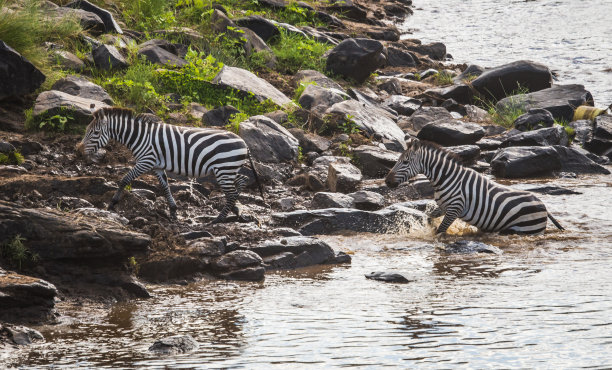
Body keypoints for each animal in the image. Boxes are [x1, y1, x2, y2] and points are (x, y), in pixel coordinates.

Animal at [77, 107, 262, 223]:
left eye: (95, 133)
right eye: (87, 131)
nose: (80, 152)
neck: (140, 137)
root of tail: (243, 141)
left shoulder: (146, 161)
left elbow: (124, 179)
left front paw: (113, 203)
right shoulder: (157, 166)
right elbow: (165, 187)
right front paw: (173, 211)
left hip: (224, 169)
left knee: (231, 193)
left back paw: (218, 219)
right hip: (227, 169)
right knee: (242, 180)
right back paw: (235, 210)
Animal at [388, 139, 564, 234]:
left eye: (405, 162)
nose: (387, 181)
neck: (446, 179)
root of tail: (544, 207)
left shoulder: (455, 208)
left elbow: (441, 231)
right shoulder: (444, 206)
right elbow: (430, 219)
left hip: (526, 229)